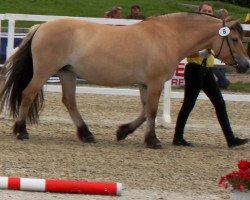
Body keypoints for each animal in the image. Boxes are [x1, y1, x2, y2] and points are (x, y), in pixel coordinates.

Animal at [0, 12, 248, 148]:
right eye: (235, 39)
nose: (246, 65)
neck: (168, 36)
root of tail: (41, 26)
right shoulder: (155, 82)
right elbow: (152, 111)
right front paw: (153, 141)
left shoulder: (145, 84)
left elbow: (145, 111)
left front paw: (123, 131)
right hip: (45, 71)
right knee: (28, 94)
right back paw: (21, 131)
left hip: (67, 73)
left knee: (69, 102)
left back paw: (86, 134)